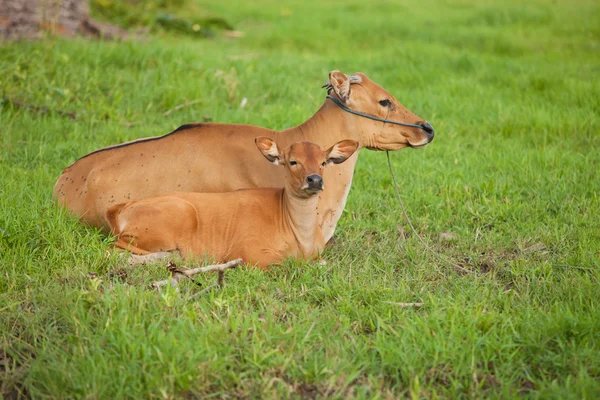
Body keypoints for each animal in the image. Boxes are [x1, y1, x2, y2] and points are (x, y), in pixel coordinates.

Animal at [105, 138, 358, 268]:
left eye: (324, 162)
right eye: (292, 161)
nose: (315, 180)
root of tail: (122, 207)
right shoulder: (249, 251)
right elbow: (283, 263)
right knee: (113, 250)